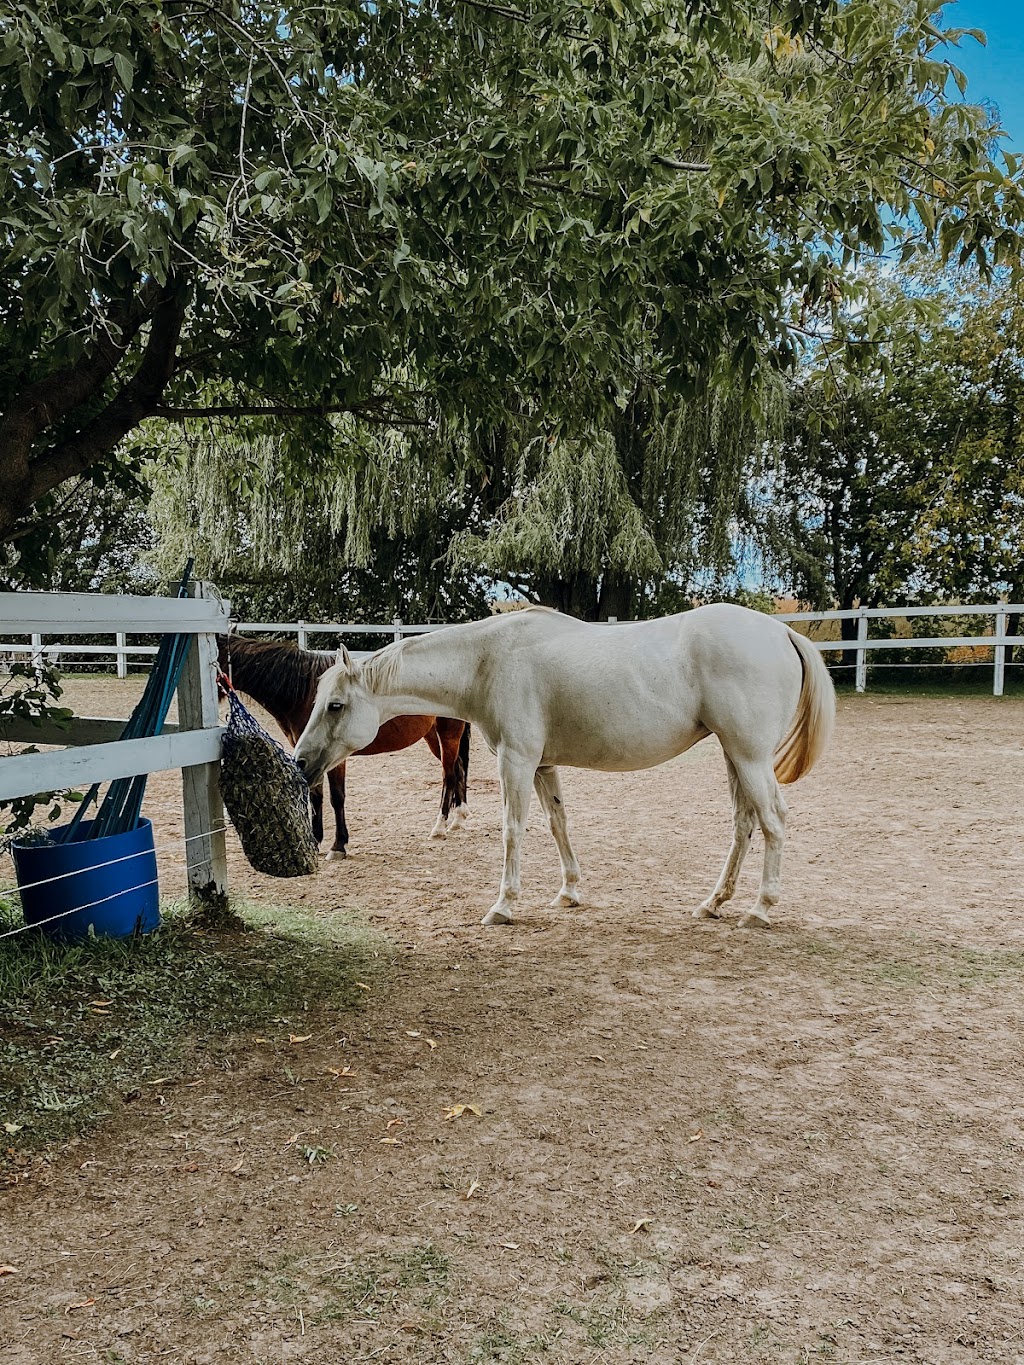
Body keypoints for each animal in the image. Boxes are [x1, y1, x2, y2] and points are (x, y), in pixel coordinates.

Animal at [219, 636, 472, 851]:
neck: (303, 691)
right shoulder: (312, 757)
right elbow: (316, 796)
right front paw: (317, 839)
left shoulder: (333, 757)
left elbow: (336, 797)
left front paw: (338, 845)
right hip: (433, 737)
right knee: (459, 769)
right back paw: (458, 818)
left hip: (448, 734)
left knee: (449, 774)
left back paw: (440, 826)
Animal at [292, 606, 835, 928]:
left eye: (335, 705)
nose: (299, 762)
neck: (488, 663)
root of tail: (781, 631)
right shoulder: (542, 765)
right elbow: (558, 823)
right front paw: (569, 892)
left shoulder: (516, 762)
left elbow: (513, 829)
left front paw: (503, 905)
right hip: (734, 755)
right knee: (744, 823)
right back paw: (713, 903)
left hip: (750, 757)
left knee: (773, 821)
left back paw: (760, 909)